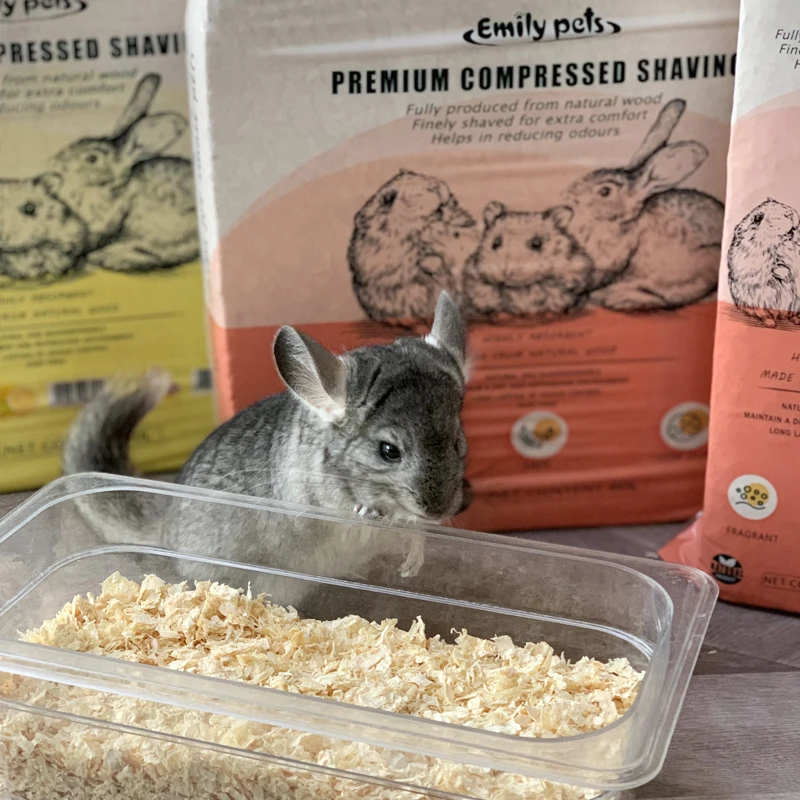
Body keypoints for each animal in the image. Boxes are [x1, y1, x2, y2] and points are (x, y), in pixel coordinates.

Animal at [62, 292, 471, 611]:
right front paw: (373, 514)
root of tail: (166, 529)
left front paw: (413, 561)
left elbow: (413, 534)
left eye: (457, 441)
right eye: (388, 451)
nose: (441, 509)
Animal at [462, 201, 594, 322]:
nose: (506, 272)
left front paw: (548, 315)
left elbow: (553, 303)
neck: (521, 286)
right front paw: (502, 316)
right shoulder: (479, 288)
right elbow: (496, 306)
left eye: (537, 244)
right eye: (496, 243)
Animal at [728, 198, 800, 327]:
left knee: (791, 314)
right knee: (762, 314)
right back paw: (771, 323)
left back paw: (796, 320)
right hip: (754, 304)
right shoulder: (751, 260)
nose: (789, 214)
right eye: (758, 218)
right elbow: (773, 267)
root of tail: (780, 314)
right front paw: (785, 276)